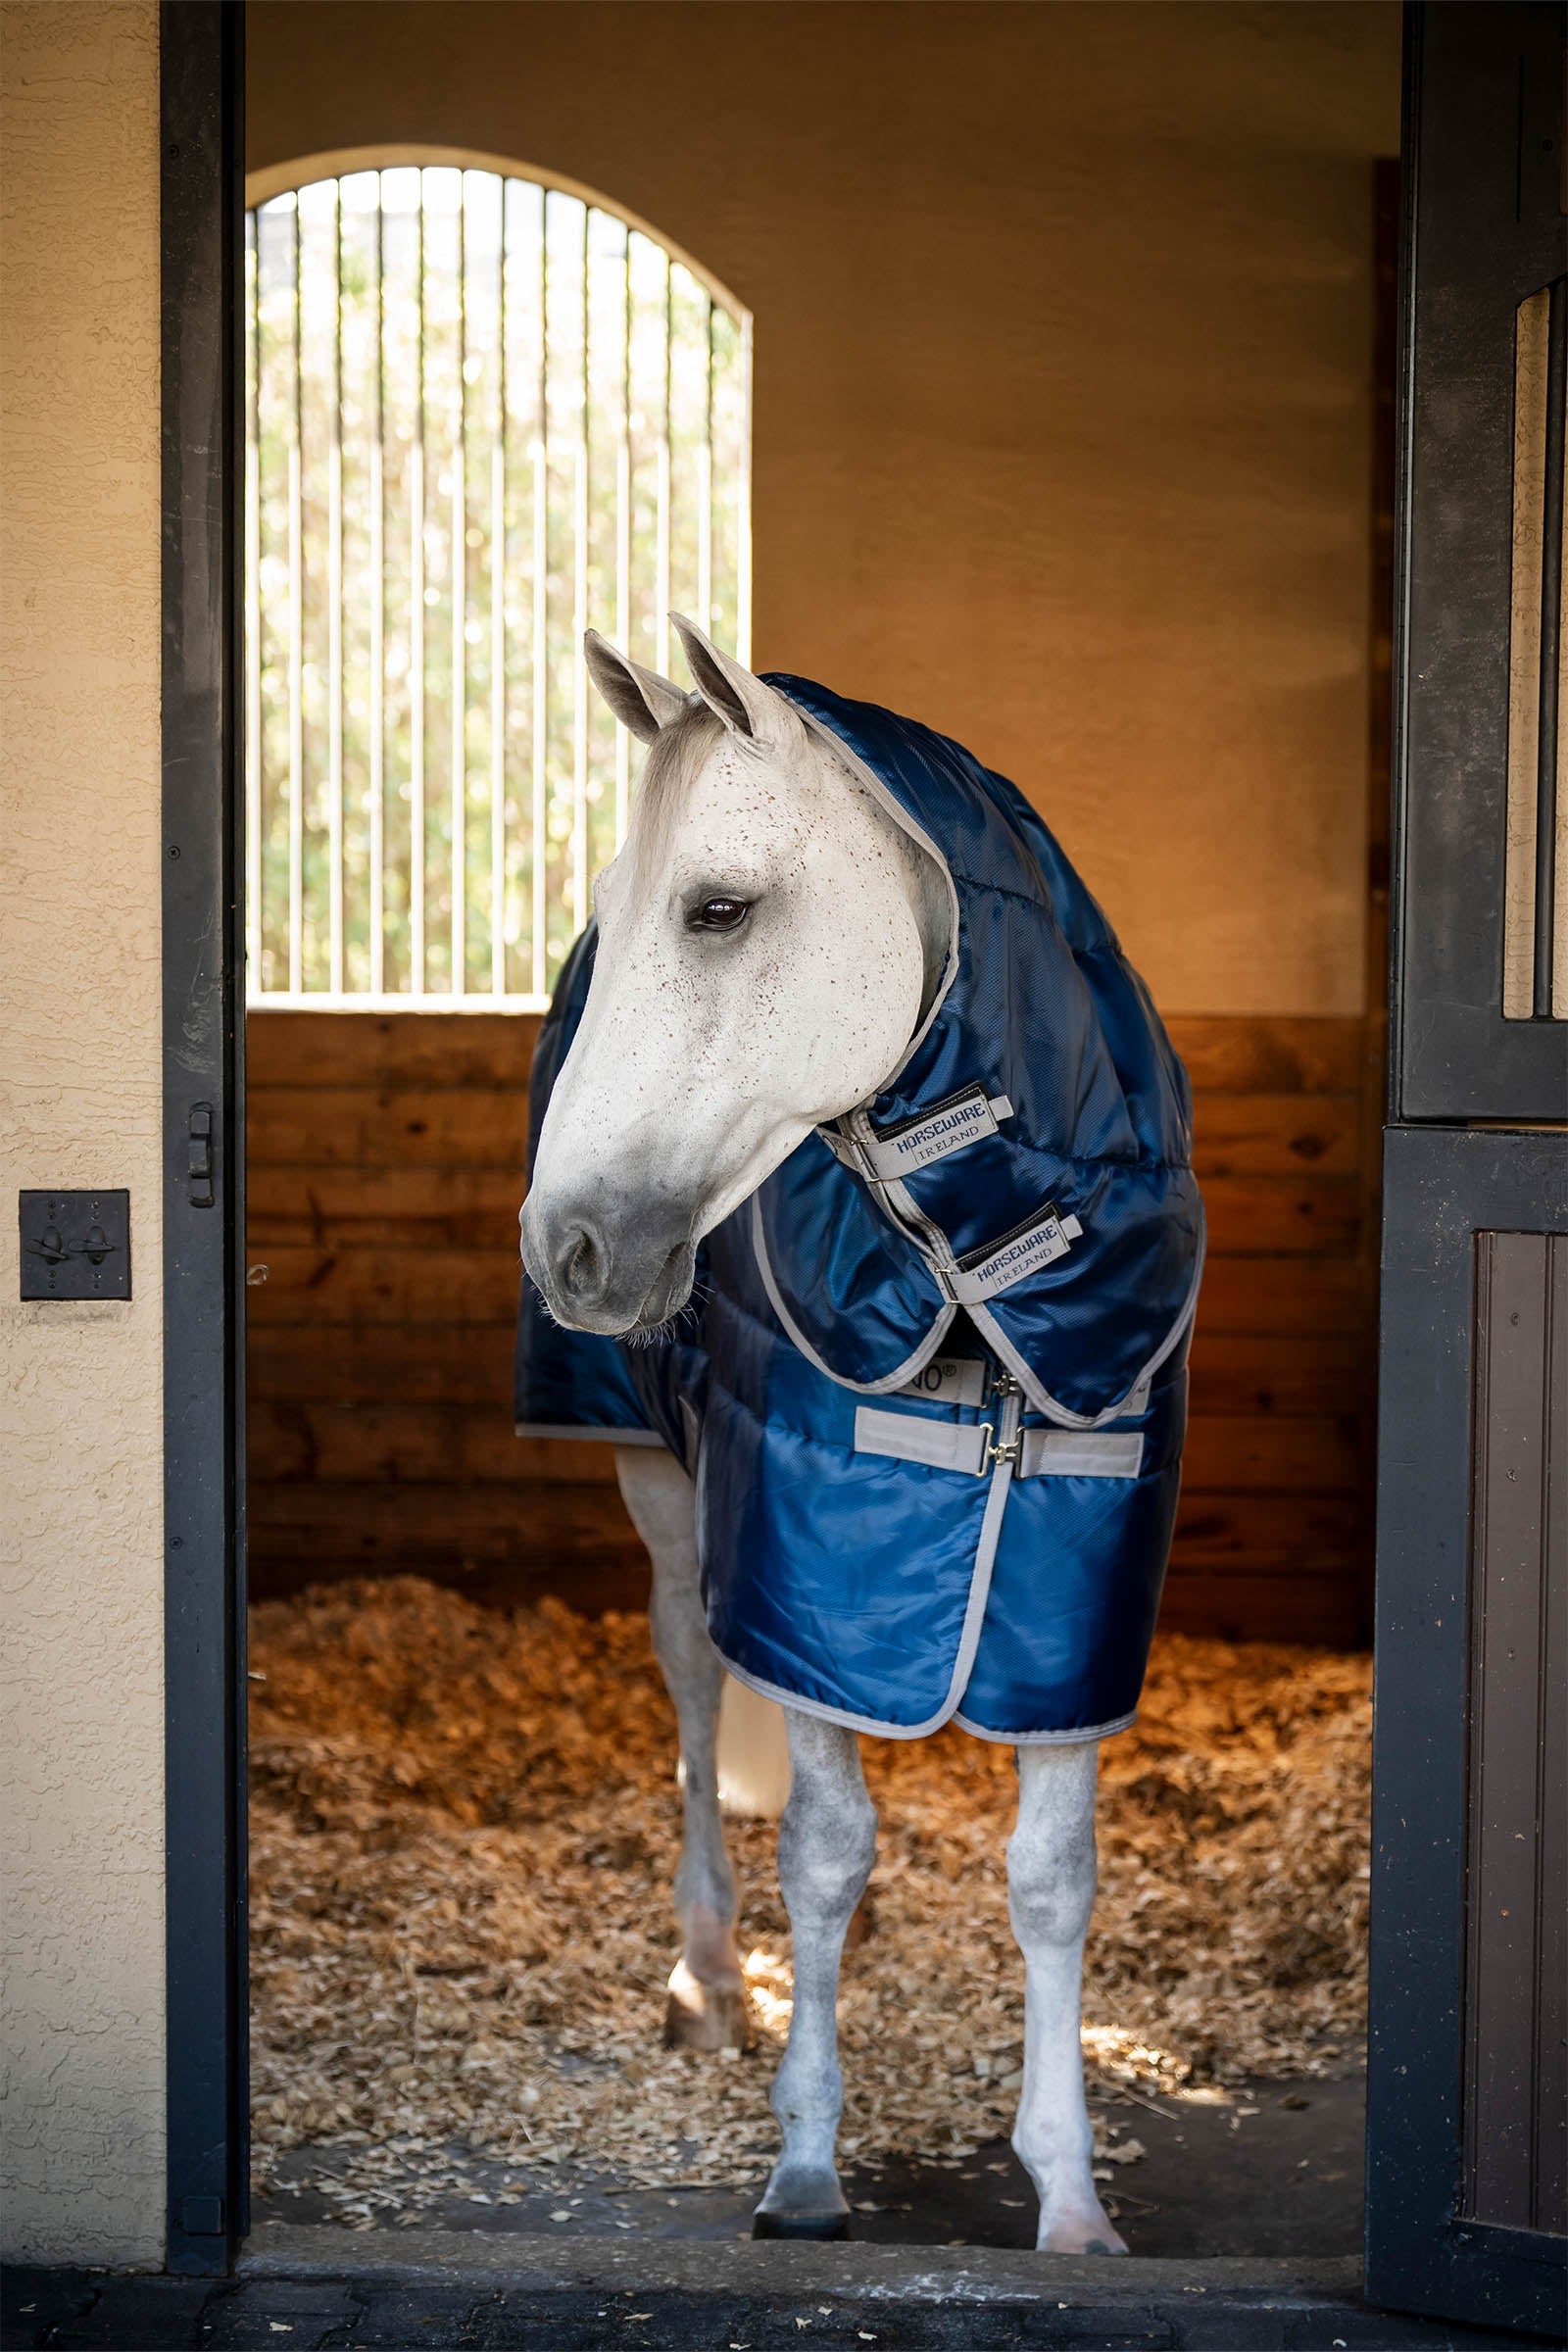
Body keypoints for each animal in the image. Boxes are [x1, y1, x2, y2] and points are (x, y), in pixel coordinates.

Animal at [519, 617, 1200, 2252]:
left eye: (717, 909)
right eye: (618, 916)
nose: (565, 1247)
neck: (974, 1271)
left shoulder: (1073, 1607)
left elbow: (1054, 1879)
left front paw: (1070, 2194)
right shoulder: (806, 1579)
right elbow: (821, 1853)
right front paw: (809, 2165)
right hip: (669, 1490)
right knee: (698, 1689)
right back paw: (710, 1971)